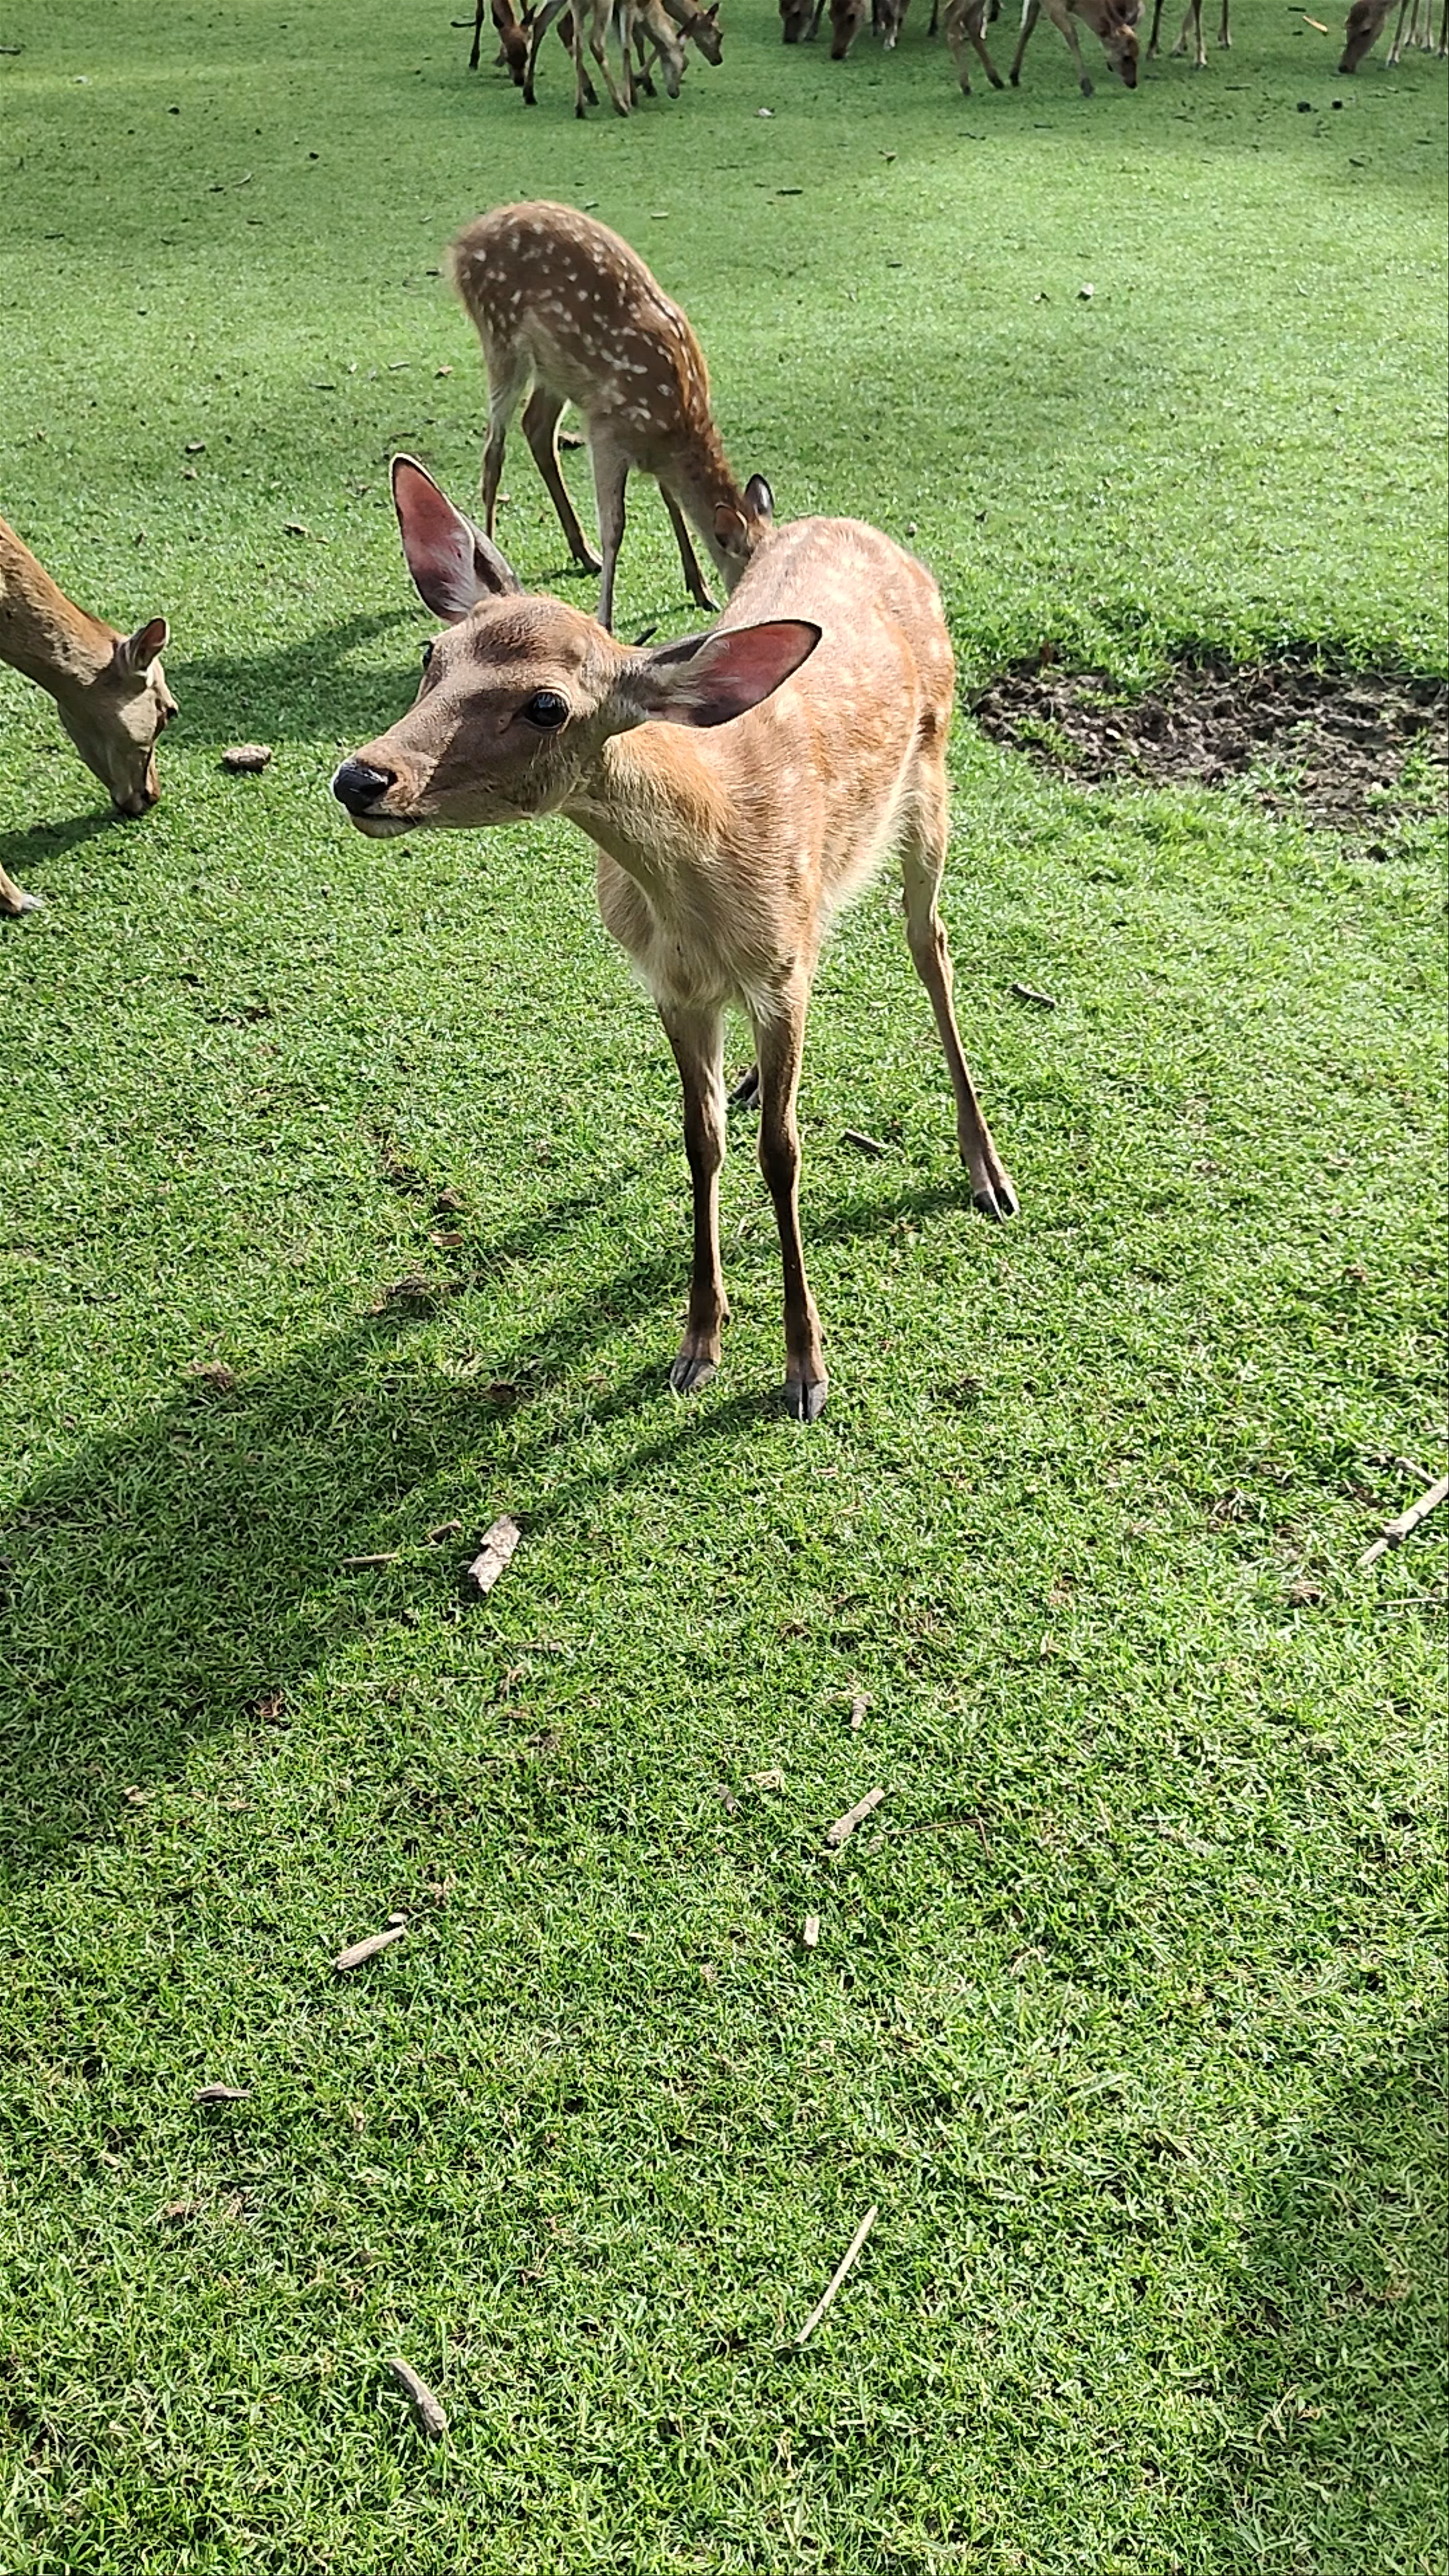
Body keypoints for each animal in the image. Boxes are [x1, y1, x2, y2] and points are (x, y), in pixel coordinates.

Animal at [332, 459, 1017, 1422]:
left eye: (547, 705)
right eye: (432, 657)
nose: (362, 778)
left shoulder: (781, 970)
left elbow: (782, 1154)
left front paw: (805, 1367)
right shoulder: (672, 985)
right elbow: (702, 1141)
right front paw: (698, 1343)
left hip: (932, 783)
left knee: (932, 944)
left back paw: (985, 1167)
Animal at [449, 203, 775, 634]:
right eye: (753, 574)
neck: (676, 425)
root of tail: (462, 246)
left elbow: (671, 502)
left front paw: (700, 588)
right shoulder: (607, 430)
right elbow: (615, 527)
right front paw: (605, 618)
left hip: (557, 373)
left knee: (536, 428)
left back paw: (583, 553)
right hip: (501, 339)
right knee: (494, 450)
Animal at [1010, 0, 1139, 91]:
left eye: (1138, 53)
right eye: (1126, 56)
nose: (1133, 84)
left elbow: (1028, 28)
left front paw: (1014, 77)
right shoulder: (1053, 4)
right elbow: (1072, 35)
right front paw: (1087, 86)